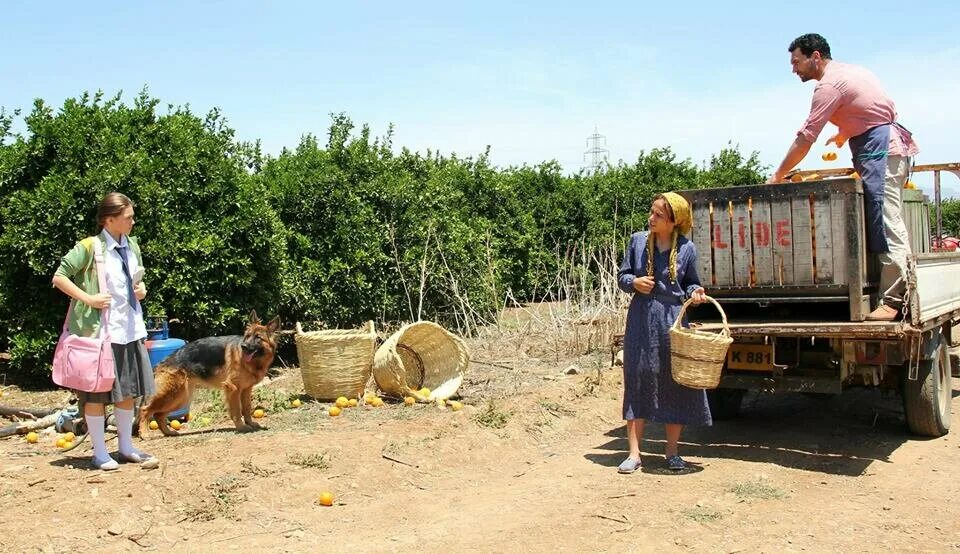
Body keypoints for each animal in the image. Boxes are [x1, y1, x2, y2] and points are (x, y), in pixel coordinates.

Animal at [139, 310, 282, 436]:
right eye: (247, 336)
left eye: (258, 338)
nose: (244, 347)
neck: (254, 362)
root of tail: (162, 363)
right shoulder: (233, 389)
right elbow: (236, 411)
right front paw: (241, 427)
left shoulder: (246, 389)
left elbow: (247, 408)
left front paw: (250, 423)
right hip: (171, 395)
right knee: (145, 410)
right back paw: (145, 434)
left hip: (180, 399)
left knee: (158, 414)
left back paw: (168, 432)